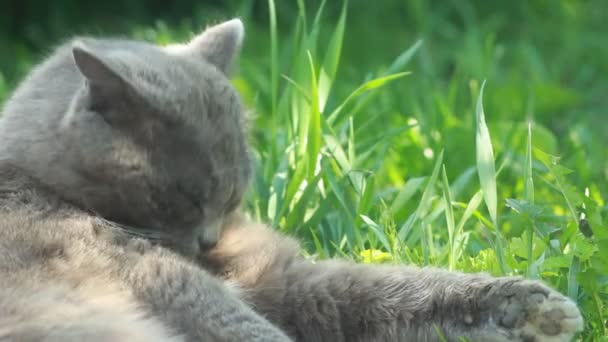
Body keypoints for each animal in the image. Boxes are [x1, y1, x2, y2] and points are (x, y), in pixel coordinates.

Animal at [0, 19, 584, 342]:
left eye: (235, 191)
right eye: (185, 195)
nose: (208, 240)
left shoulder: (291, 282)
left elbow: (398, 288)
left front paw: (538, 309)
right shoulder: (164, 279)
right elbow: (249, 328)